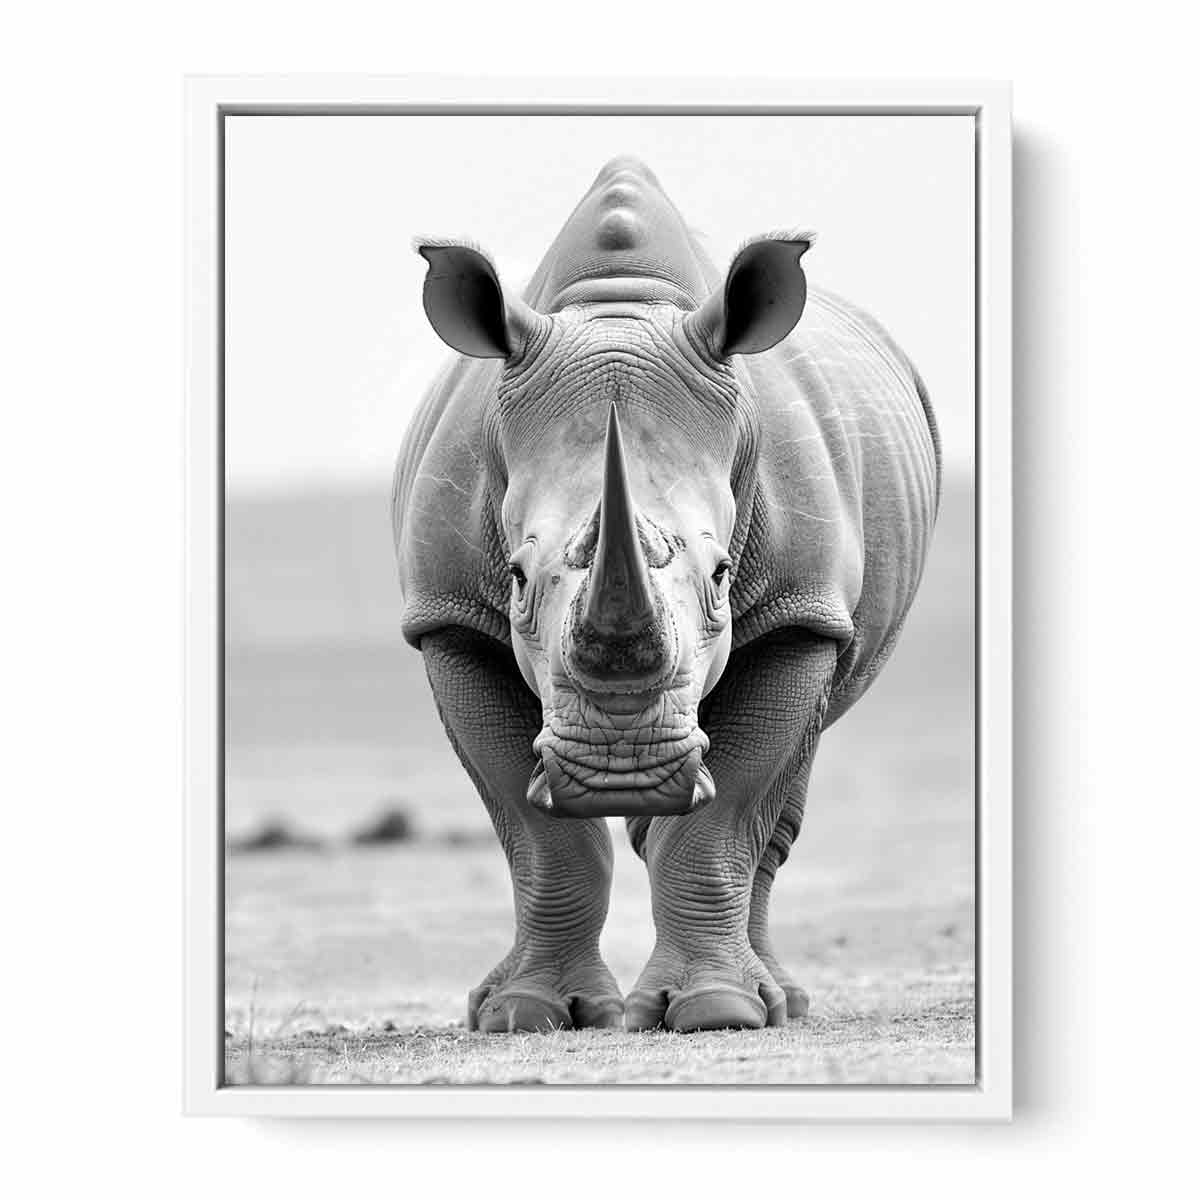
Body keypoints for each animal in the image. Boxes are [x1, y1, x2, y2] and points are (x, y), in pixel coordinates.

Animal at [392, 156, 940, 1033]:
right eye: (516, 578)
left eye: (721, 576)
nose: (623, 770)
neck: (619, 308)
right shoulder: (449, 619)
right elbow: (536, 829)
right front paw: (522, 1014)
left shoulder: (800, 612)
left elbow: (726, 813)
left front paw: (718, 1011)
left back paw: (780, 1002)